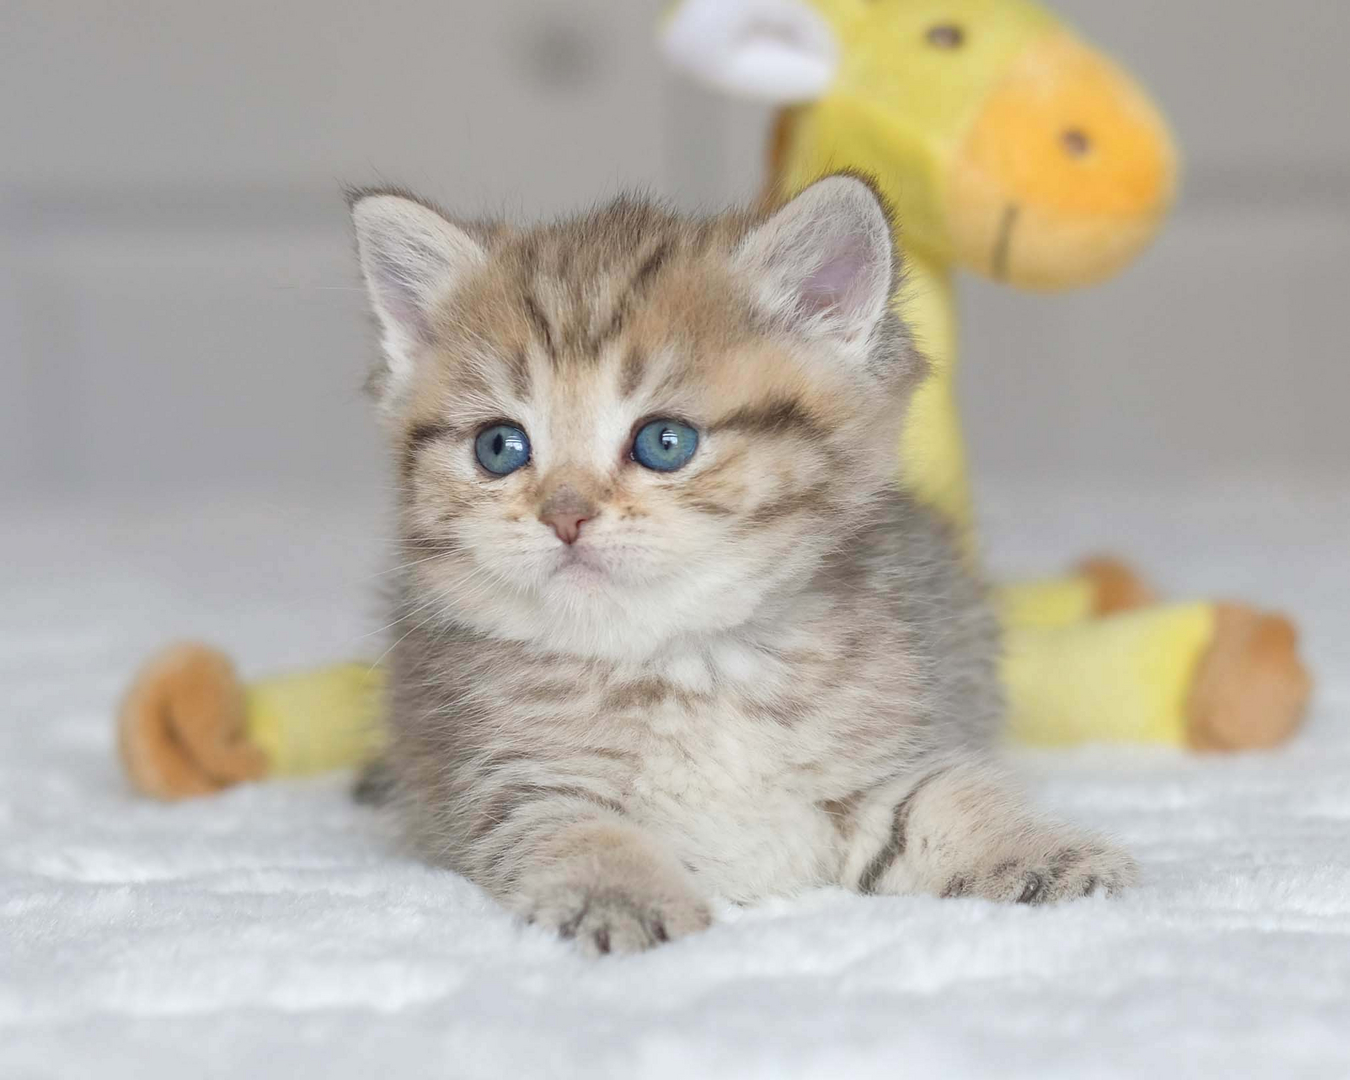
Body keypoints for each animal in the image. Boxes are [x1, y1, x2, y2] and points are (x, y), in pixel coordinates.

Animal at [351, 175, 1139, 955]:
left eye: (664, 442)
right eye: (500, 447)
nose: (564, 515)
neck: (686, 665)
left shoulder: (882, 761)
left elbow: (947, 799)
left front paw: (1043, 855)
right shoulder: (512, 784)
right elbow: (577, 832)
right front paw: (620, 895)